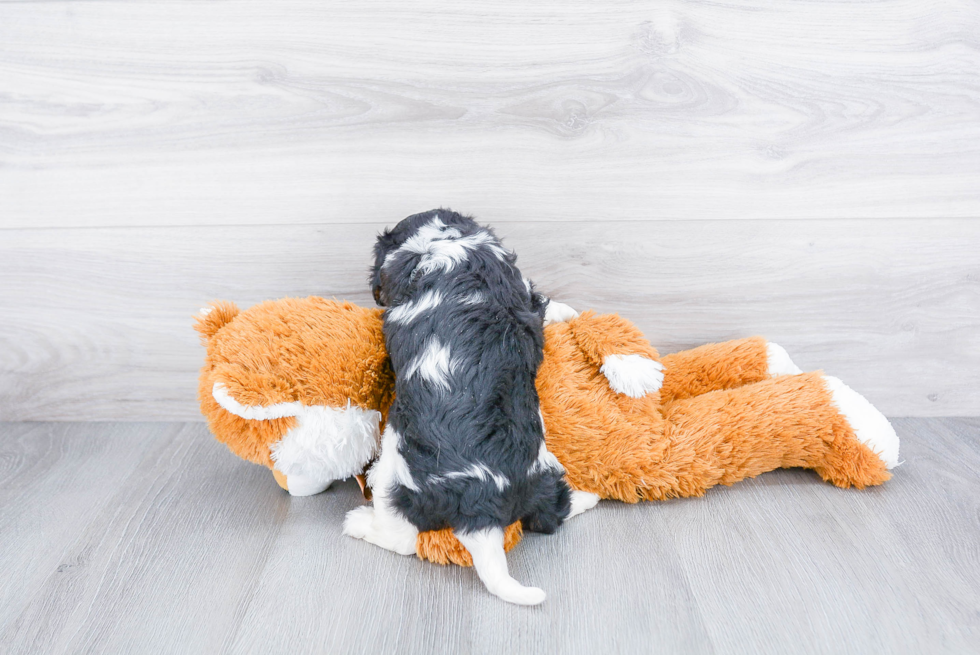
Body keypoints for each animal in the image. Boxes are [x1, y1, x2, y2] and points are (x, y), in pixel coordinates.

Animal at [348, 209, 600, 604]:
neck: (448, 244)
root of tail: (481, 511)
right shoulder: (520, 287)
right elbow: (541, 301)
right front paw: (568, 311)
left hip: (394, 473)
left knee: (402, 537)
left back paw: (358, 524)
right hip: (543, 474)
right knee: (552, 511)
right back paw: (588, 497)